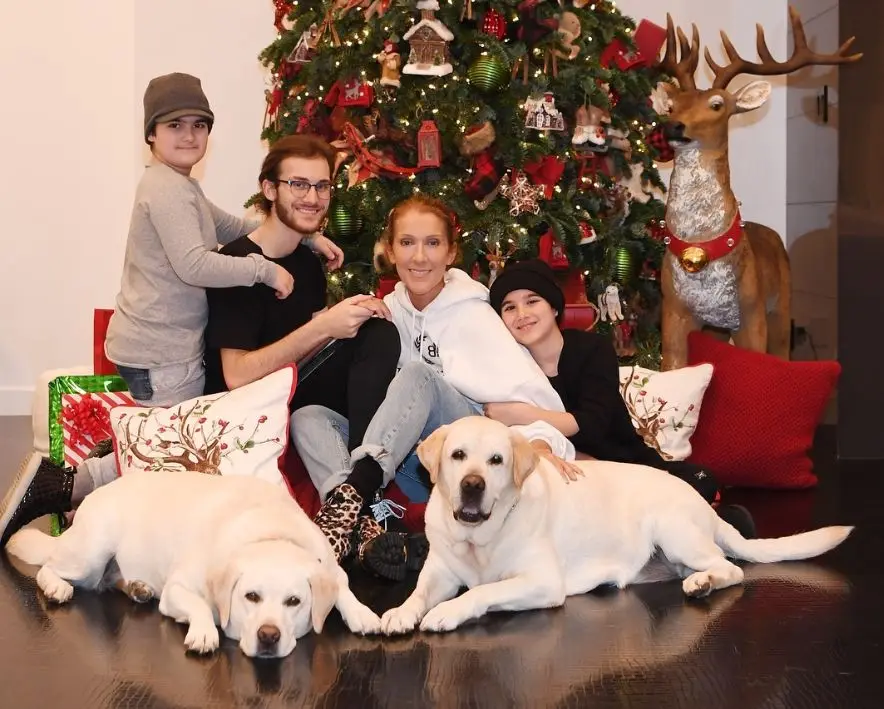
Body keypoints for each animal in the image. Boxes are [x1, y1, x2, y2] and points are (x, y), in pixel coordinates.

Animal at [6, 470, 380, 660]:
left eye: (294, 602)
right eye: (251, 597)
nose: (268, 636)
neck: (271, 532)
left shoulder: (329, 566)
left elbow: (343, 586)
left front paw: (362, 613)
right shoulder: (177, 589)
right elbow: (199, 605)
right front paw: (204, 631)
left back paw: (138, 587)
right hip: (91, 553)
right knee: (50, 567)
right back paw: (57, 586)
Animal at [382, 414, 856, 632]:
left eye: (496, 460)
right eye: (458, 455)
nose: (472, 485)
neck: (480, 536)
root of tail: (704, 505)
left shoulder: (542, 582)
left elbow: (483, 590)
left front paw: (448, 612)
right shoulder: (441, 571)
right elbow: (419, 592)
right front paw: (401, 612)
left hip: (674, 529)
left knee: (730, 568)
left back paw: (702, 583)